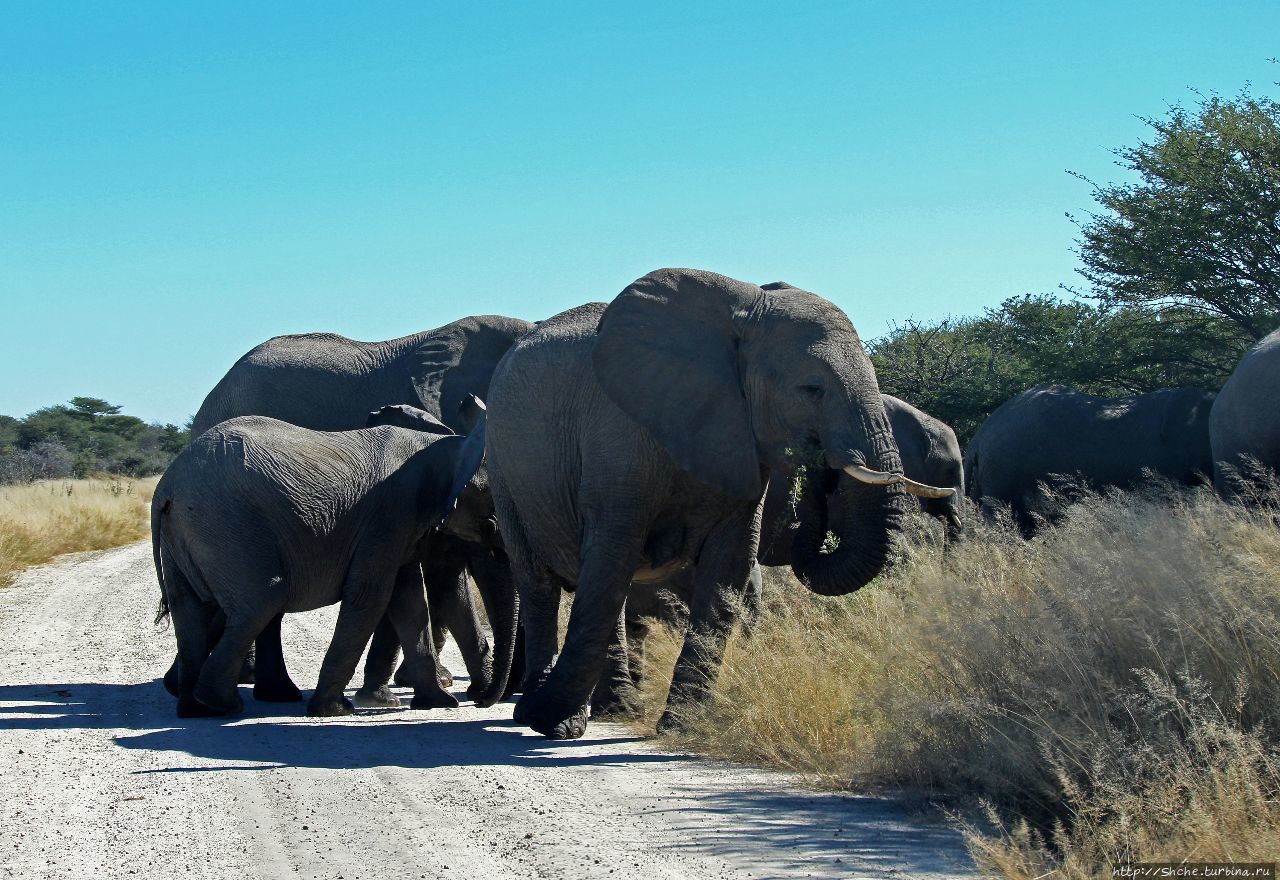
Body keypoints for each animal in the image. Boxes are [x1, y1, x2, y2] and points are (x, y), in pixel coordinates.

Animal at [153, 411, 483, 716]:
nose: (479, 699)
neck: (433, 442)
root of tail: (166, 486)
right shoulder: (390, 514)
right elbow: (371, 596)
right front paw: (335, 710)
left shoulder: (400, 527)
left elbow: (409, 601)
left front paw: (438, 703)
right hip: (225, 525)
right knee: (262, 601)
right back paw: (223, 704)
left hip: (185, 536)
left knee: (192, 613)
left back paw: (197, 709)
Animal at [483, 269, 957, 741]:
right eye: (811, 389)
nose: (818, 469)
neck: (741, 314)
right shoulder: (617, 434)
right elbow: (607, 565)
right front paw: (550, 720)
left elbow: (728, 572)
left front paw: (682, 727)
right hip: (504, 469)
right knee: (545, 583)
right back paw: (544, 714)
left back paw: (611, 709)